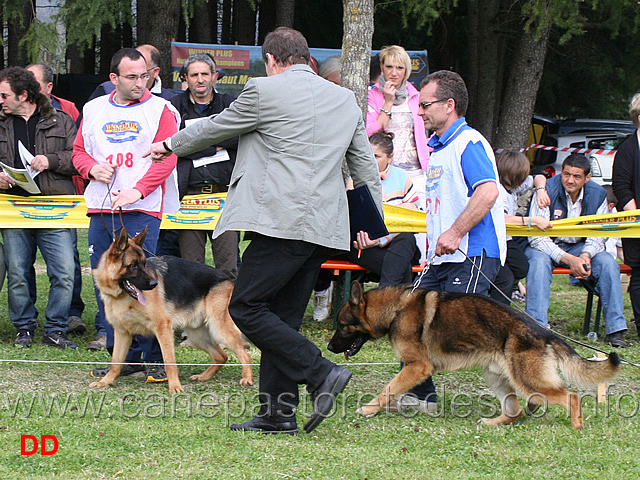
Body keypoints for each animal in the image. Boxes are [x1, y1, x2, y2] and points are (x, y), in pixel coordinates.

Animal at [90, 227, 255, 392]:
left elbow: (169, 361)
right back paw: (203, 377)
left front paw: (175, 386)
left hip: (219, 330)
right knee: (221, 356)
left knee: (245, 355)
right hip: (198, 336)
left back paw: (247, 378)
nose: (154, 283)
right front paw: (106, 381)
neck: (121, 296)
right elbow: (116, 362)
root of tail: (229, 280)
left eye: (144, 264)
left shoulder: (163, 327)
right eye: (133, 265)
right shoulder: (122, 332)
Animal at [328, 282, 616, 428]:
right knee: (516, 411)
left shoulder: (417, 367)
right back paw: (494, 422)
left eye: (341, 325)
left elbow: (388, 388)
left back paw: (576, 427)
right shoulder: (414, 368)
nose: (329, 348)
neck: (396, 309)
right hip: (497, 377)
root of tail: (545, 333)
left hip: (526, 380)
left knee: (571, 397)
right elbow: (393, 388)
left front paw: (368, 409)